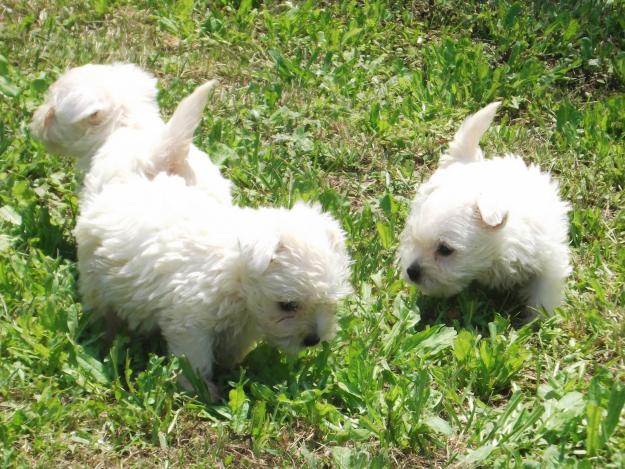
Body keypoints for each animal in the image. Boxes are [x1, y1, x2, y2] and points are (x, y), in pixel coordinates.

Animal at [74, 174, 352, 396]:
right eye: (288, 305)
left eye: (329, 303)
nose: (313, 340)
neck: (236, 272)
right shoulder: (191, 321)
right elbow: (195, 358)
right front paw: (201, 389)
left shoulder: (243, 325)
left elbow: (233, 348)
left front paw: (231, 369)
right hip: (96, 281)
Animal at [400, 100, 572, 316]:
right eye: (415, 239)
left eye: (445, 250)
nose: (411, 272)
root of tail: (466, 161)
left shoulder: (549, 260)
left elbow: (543, 293)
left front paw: (540, 318)